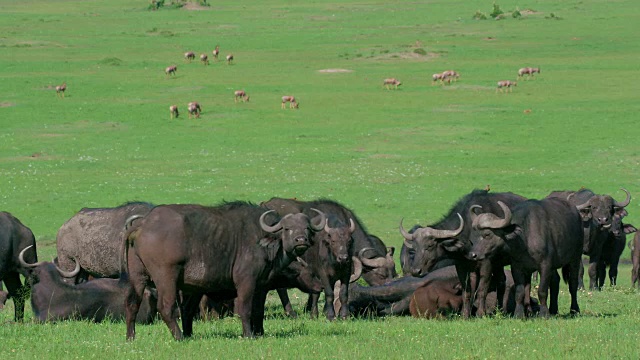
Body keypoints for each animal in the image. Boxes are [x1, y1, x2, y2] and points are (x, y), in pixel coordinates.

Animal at [123, 201, 328, 342]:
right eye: (287, 228)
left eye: (307, 228)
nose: (301, 240)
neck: (263, 241)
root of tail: (143, 223)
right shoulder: (246, 282)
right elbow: (245, 309)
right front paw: (248, 335)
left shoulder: (261, 286)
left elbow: (258, 311)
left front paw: (260, 333)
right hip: (167, 278)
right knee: (166, 307)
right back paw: (179, 337)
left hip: (138, 278)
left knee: (132, 304)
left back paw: (131, 337)